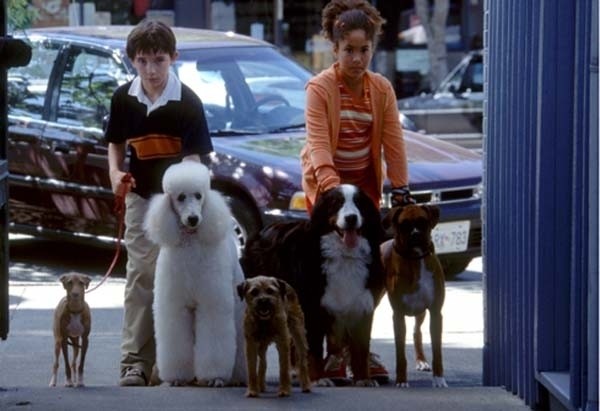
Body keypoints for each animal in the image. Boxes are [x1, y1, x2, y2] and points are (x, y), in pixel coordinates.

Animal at [240, 183, 384, 386]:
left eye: (358, 203)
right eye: (337, 203)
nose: (351, 218)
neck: (344, 256)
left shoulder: (361, 304)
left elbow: (361, 348)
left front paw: (363, 379)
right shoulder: (312, 307)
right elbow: (313, 348)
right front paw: (318, 379)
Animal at [382, 206, 448, 390]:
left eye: (423, 221)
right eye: (404, 225)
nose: (415, 234)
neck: (416, 260)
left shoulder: (435, 313)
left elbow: (437, 351)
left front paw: (439, 379)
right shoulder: (398, 316)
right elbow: (400, 354)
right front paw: (401, 380)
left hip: (421, 312)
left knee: (417, 331)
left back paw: (421, 361)